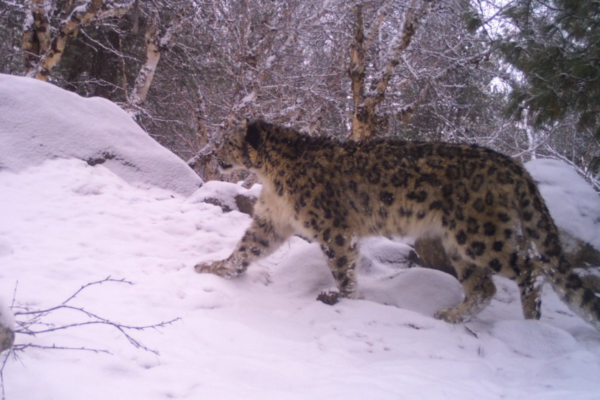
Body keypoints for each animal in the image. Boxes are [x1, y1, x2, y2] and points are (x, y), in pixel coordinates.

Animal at [196, 119, 600, 332]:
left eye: (228, 142)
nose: (214, 155)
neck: (271, 176)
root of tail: (512, 165)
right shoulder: (272, 220)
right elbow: (247, 248)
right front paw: (215, 267)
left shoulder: (334, 228)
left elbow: (342, 268)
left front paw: (347, 300)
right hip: (458, 243)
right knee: (482, 286)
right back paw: (450, 316)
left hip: (479, 235)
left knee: (532, 268)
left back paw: (531, 323)